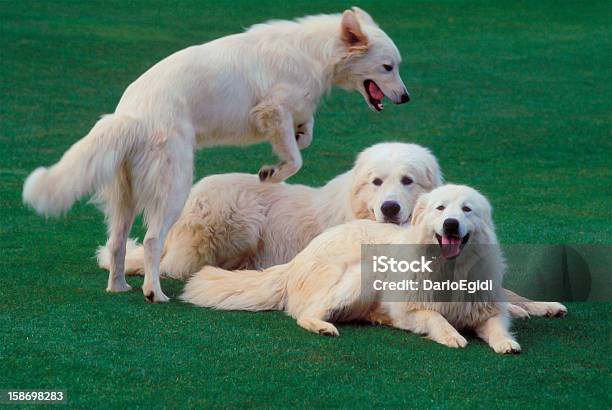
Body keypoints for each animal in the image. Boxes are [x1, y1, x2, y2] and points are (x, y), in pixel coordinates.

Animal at [22, 6, 412, 302]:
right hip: (175, 188)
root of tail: (131, 115)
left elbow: (305, 137)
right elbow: (296, 157)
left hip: (125, 197)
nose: (407, 98)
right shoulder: (272, 110)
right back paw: (154, 293)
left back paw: (118, 287)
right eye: (388, 67)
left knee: (117, 242)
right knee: (152, 242)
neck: (315, 51)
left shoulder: (288, 113)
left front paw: (294, 144)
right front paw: (271, 172)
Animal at [98, 143, 568, 318]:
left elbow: (507, 291)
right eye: (377, 182)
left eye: (407, 181)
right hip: (240, 220)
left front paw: (539, 304)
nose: (390, 207)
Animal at [182, 185, 520, 352]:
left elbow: (496, 325)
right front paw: (452, 335)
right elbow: (436, 317)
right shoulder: (409, 309)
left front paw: (506, 343)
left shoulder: (487, 308)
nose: (451, 224)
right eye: (440, 208)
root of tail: (295, 261)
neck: (450, 271)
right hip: (363, 272)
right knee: (304, 314)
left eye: (466, 210)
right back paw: (322, 326)